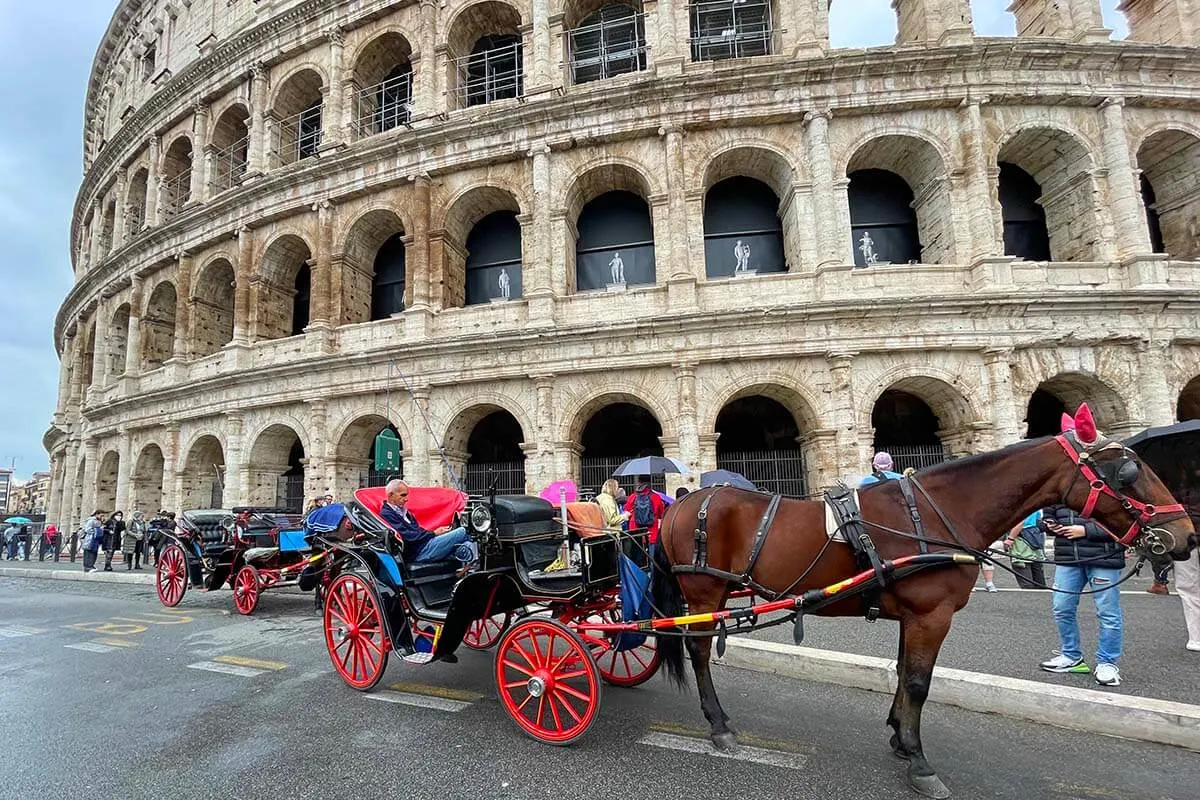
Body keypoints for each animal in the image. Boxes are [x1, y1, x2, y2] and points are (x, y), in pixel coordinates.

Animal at [652, 410, 1195, 796]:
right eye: (1127, 472)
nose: (1186, 537)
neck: (936, 514)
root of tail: (683, 503)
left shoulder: (913, 615)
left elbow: (902, 673)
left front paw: (898, 735)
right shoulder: (931, 615)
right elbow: (918, 682)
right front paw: (918, 759)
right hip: (703, 591)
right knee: (699, 651)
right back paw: (718, 724)